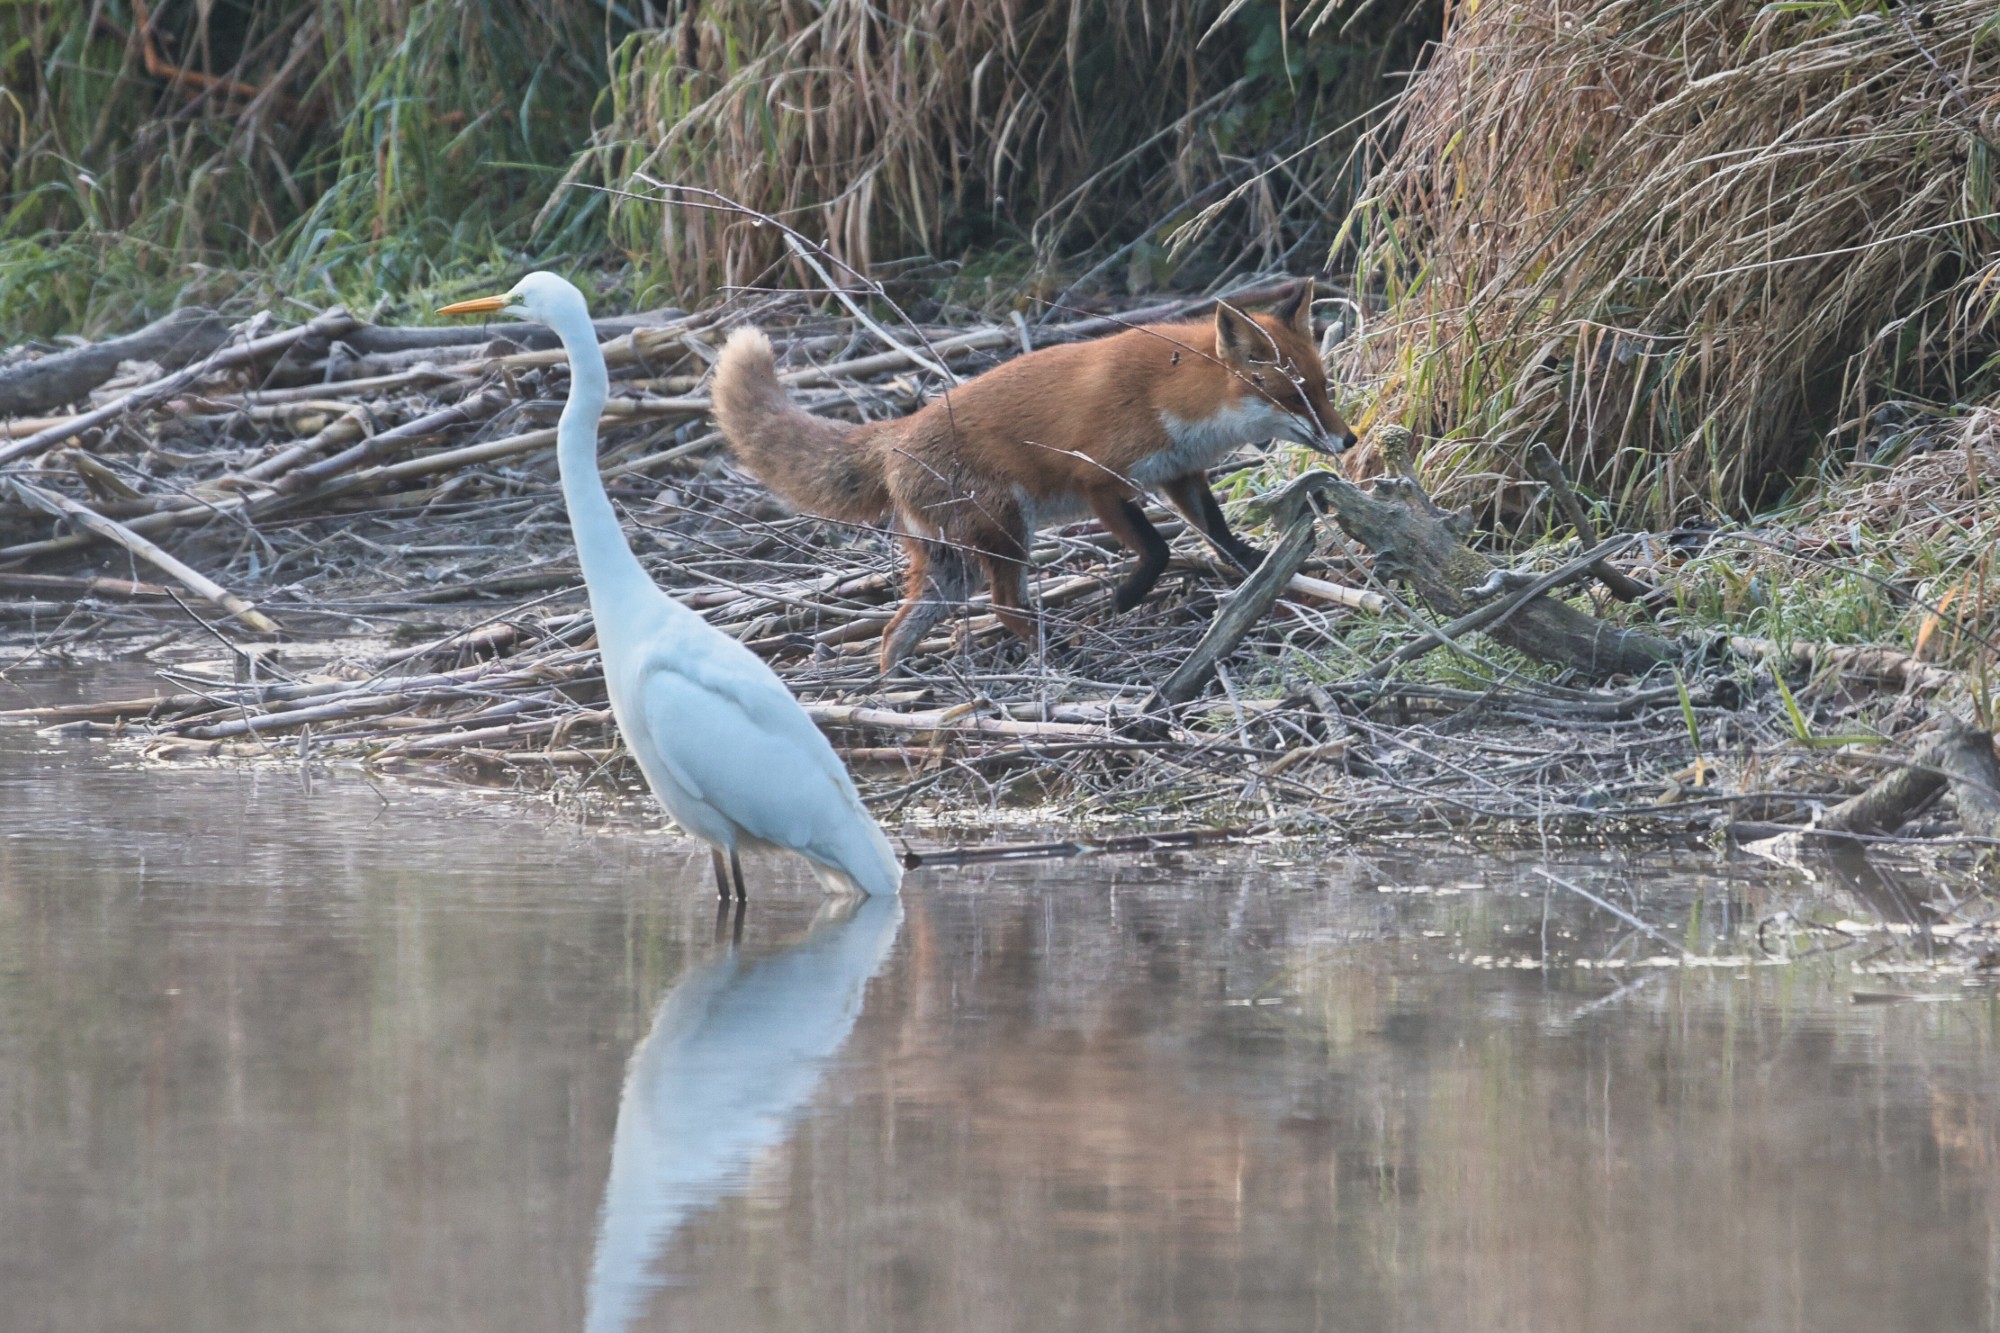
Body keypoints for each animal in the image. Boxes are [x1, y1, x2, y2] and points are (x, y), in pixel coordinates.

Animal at [711, 281, 1358, 669]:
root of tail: (897, 434)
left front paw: (1265, 581)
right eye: (1294, 397)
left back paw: (893, 694)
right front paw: (1124, 599)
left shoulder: (1180, 475)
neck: (1173, 395)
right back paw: (1060, 652)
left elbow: (1225, 542)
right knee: (1005, 607)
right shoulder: (1100, 482)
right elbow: (1157, 552)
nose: (1348, 440)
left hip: (952, 568)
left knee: (898, 629)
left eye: (1324, 389)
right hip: (1005, 531)